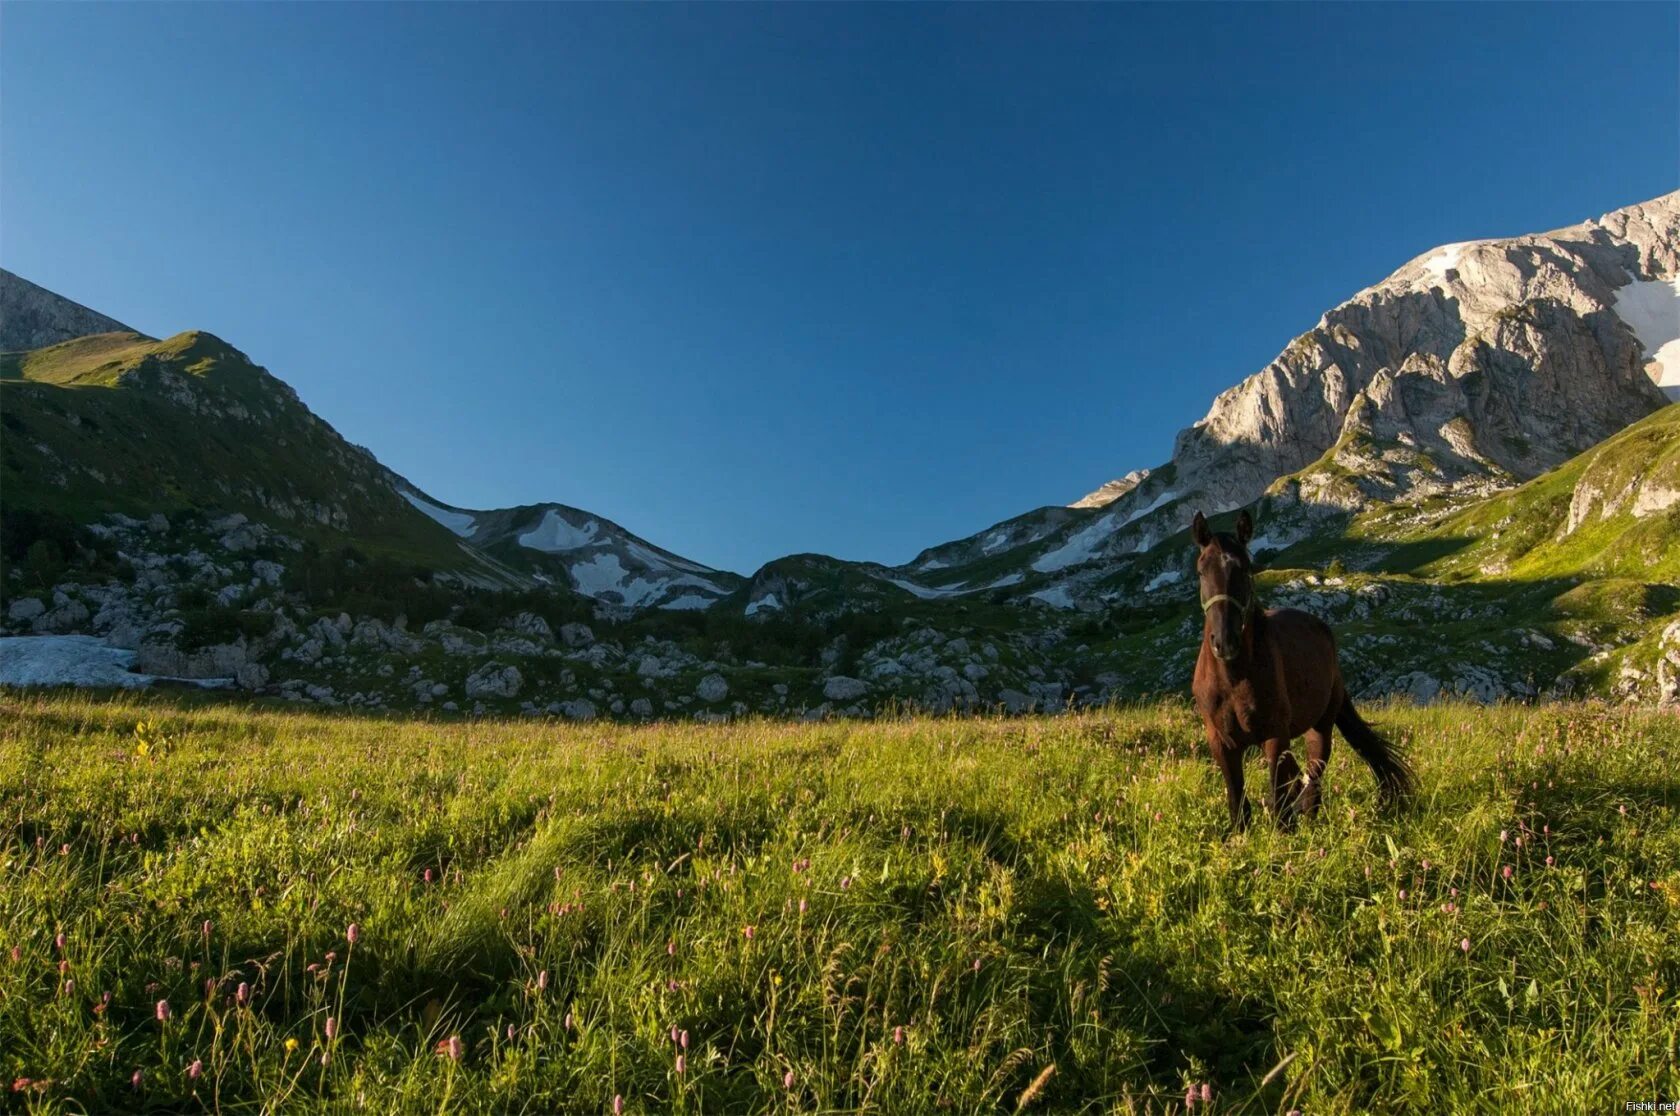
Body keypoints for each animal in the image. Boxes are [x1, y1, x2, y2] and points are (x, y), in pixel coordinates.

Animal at [1189, 510, 1411, 833]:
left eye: (1245, 569)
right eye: (1201, 571)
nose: (1224, 641)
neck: (1233, 679)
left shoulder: (1274, 738)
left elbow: (1278, 801)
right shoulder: (1221, 743)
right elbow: (1237, 802)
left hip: (1320, 727)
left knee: (1313, 779)